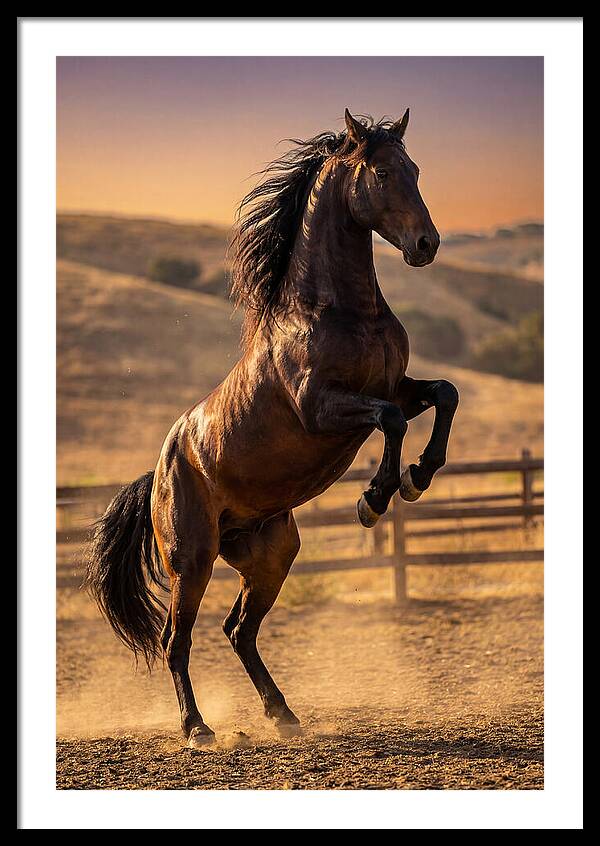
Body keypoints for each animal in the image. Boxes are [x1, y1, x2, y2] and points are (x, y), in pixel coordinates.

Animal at [86, 108, 459, 747]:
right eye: (383, 173)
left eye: (415, 170)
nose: (426, 245)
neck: (337, 311)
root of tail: (159, 470)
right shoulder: (322, 407)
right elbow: (388, 423)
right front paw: (374, 499)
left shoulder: (395, 388)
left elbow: (443, 395)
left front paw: (418, 476)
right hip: (193, 559)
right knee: (176, 640)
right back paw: (197, 729)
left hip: (271, 553)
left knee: (239, 630)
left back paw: (283, 714)